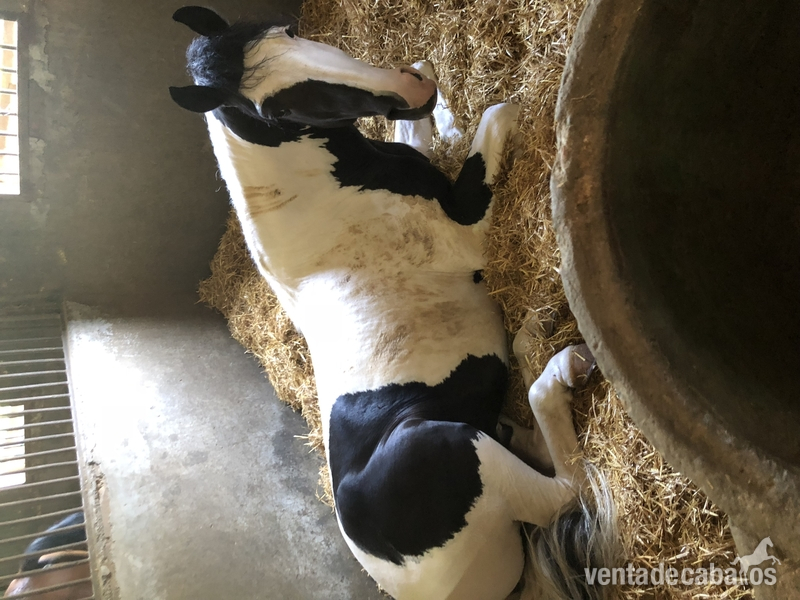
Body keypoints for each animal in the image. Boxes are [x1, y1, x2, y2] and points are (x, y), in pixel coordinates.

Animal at [170, 7, 619, 599]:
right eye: (277, 109)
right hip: (448, 445)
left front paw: (441, 102)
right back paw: (565, 367)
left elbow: (432, 131)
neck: (319, 199)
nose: (411, 87)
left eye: (289, 32)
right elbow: (497, 115)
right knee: (567, 487)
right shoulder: (466, 229)